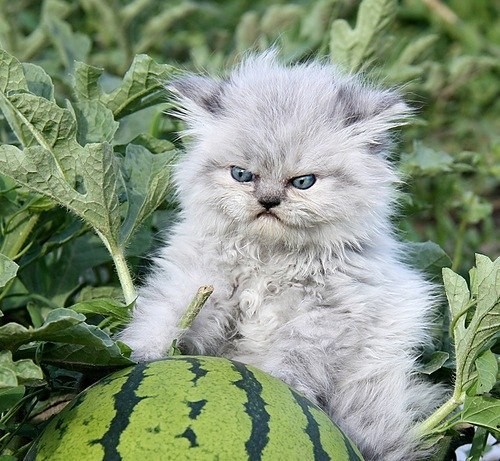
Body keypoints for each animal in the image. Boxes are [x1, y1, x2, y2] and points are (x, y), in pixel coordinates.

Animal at [119, 51, 444, 460]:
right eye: (242, 175)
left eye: (303, 182)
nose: (268, 201)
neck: (269, 262)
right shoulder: (199, 285)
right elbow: (162, 318)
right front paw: (138, 355)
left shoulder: (323, 320)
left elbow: (290, 364)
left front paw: (280, 390)